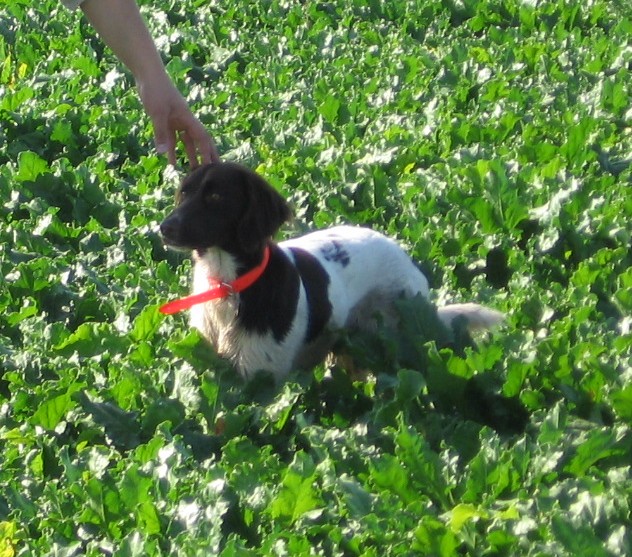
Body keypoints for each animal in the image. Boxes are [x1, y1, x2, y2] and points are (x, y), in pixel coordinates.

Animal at [159, 162, 504, 380]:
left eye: (216, 196)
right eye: (183, 193)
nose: (164, 228)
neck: (228, 284)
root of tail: (407, 259)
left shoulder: (260, 377)